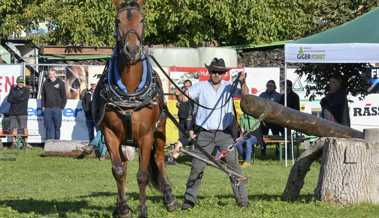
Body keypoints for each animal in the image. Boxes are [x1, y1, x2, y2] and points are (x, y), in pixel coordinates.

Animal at [95, 0, 178, 217]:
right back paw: (119, 204)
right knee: (123, 165)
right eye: (118, 20)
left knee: (159, 159)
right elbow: (118, 170)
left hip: (159, 131)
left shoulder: (146, 135)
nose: (131, 49)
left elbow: (143, 174)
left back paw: (170, 198)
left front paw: (143, 210)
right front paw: (124, 208)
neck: (130, 93)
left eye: (142, 20)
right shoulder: (109, 133)